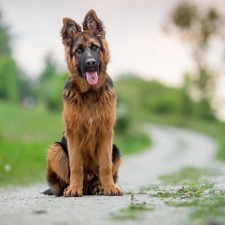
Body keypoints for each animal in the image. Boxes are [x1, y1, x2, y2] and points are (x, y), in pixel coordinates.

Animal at [43, 10, 123, 197]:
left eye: (94, 48)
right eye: (79, 50)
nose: (90, 63)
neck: (90, 94)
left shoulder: (106, 133)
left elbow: (105, 165)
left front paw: (110, 187)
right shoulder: (73, 133)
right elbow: (76, 165)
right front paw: (74, 188)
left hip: (115, 150)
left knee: (99, 174)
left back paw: (99, 187)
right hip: (55, 150)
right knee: (64, 180)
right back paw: (69, 188)